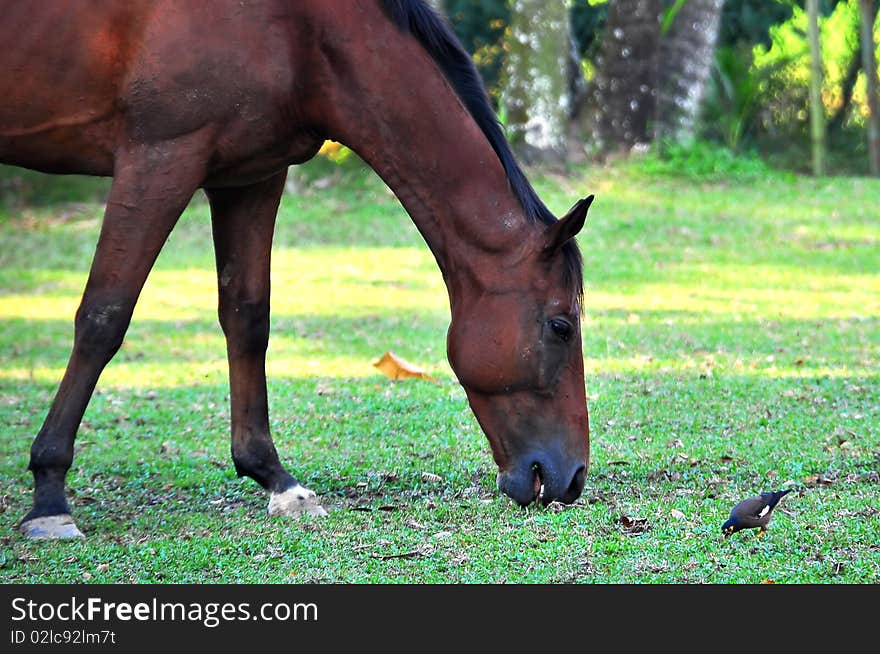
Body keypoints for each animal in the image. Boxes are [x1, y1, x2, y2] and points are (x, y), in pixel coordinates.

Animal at [1, 0, 592, 540]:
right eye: (560, 327)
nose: (574, 478)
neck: (299, 32)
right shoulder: (158, 161)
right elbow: (104, 318)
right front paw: (49, 496)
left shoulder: (250, 176)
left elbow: (247, 319)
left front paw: (273, 477)